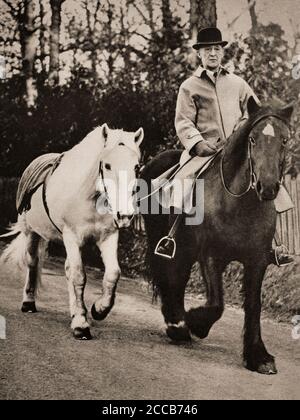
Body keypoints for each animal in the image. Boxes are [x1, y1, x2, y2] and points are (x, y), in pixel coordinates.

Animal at [0, 123, 143, 340]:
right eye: (107, 165)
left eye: (136, 167)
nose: (125, 215)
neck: (90, 197)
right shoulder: (71, 237)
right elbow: (78, 275)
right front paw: (81, 324)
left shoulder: (108, 237)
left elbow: (112, 274)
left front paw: (98, 309)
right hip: (32, 232)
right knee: (33, 262)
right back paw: (29, 302)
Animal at [142, 98, 294, 374]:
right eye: (252, 139)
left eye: (285, 140)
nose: (267, 187)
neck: (239, 203)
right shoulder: (211, 256)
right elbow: (217, 304)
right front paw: (195, 322)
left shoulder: (257, 262)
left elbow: (254, 305)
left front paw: (258, 356)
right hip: (167, 241)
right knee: (170, 275)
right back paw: (176, 324)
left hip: (185, 250)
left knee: (178, 277)